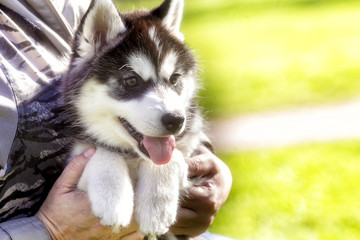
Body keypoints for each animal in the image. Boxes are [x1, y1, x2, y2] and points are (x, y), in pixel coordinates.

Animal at [60, 0, 210, 237]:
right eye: (131, 81)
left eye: (174, 79)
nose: (176, 120)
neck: (132, 156)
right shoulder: (75, 159)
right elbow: (103, 151)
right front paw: (113, 199)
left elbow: (170, 157)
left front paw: (156, 208)